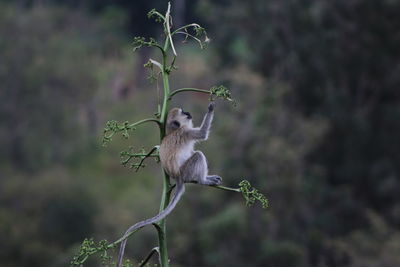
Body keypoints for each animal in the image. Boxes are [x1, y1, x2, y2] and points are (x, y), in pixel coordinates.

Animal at [115, 102, 222, 267]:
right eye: (183, 113)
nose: (189, 113)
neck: (175, 130)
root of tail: (178, 178)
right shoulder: (186, 132)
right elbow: (203, 134)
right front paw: (211, 107)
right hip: (187, 171)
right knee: (198, 155)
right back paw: (203, 180)